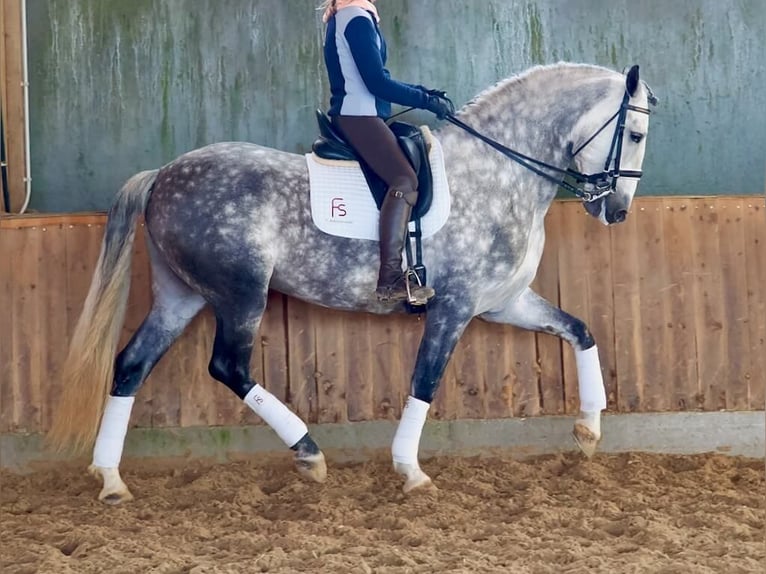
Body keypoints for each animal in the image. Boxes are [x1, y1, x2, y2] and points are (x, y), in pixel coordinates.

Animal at [51, 62, 656, 504]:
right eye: (636, 132)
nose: (619, 211)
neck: (499, 174)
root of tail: (163, 175)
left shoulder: (503, 302)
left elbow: (580, 330)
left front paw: (589, 431)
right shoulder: (454, 307)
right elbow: (425, 381)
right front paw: (410, 471)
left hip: (183, 296)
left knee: (131, 365)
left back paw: (111, 480)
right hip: (240, 292)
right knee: (228, 366)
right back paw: (309, 453)